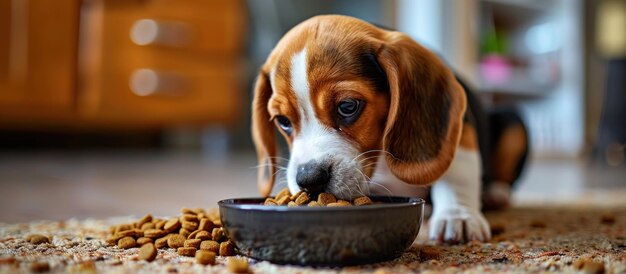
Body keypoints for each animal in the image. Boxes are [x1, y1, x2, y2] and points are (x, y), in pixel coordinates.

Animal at [249, 15, 528, 243]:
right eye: (283, 121)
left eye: (348, 106)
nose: (309, 179)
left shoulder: (461, 130)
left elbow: (457, 173)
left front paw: (457, 216)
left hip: (513, 121)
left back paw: (495, 193)